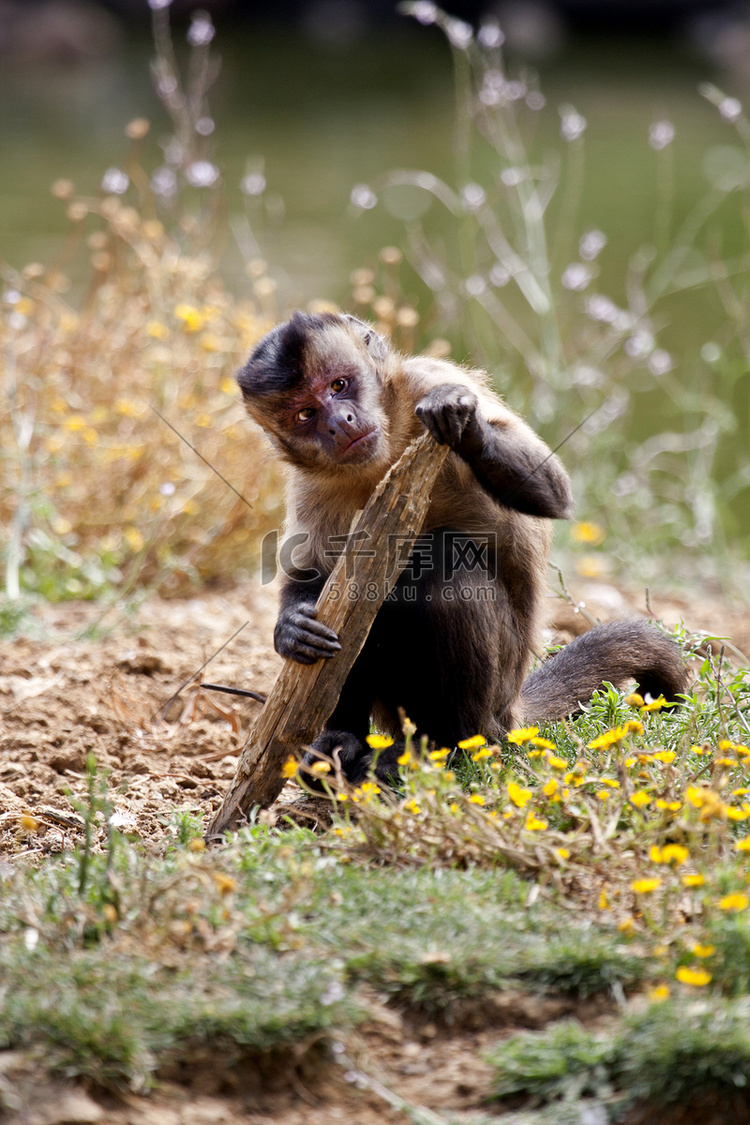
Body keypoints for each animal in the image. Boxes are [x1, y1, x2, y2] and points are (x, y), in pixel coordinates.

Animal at [237, 308, 688, 783]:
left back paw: (452, 745)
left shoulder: (429, 378)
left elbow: (552, 492)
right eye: (306, 412)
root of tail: (510, 711)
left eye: (339, 385)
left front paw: (466, 425)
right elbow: (312, 573)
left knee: (447, 566)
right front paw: (291, 628)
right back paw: (344, 739)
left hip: (497, 692)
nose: (339, 421)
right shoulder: (311, 479)